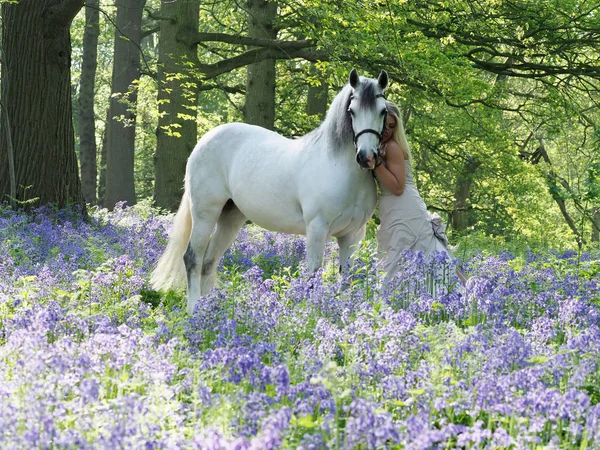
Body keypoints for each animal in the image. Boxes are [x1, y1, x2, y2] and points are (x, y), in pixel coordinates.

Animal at [151, 68, 390, 314]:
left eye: (383, 111)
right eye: (352, 111)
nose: (366, 157)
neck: (339, 168)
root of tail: (205, 140)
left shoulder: (352, 235)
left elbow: (348, 278)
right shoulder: (317, 229)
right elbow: (313, 277)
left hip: (231, 217)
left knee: (209, 262)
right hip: (205, 213)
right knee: (193, 258)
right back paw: (194, 310)